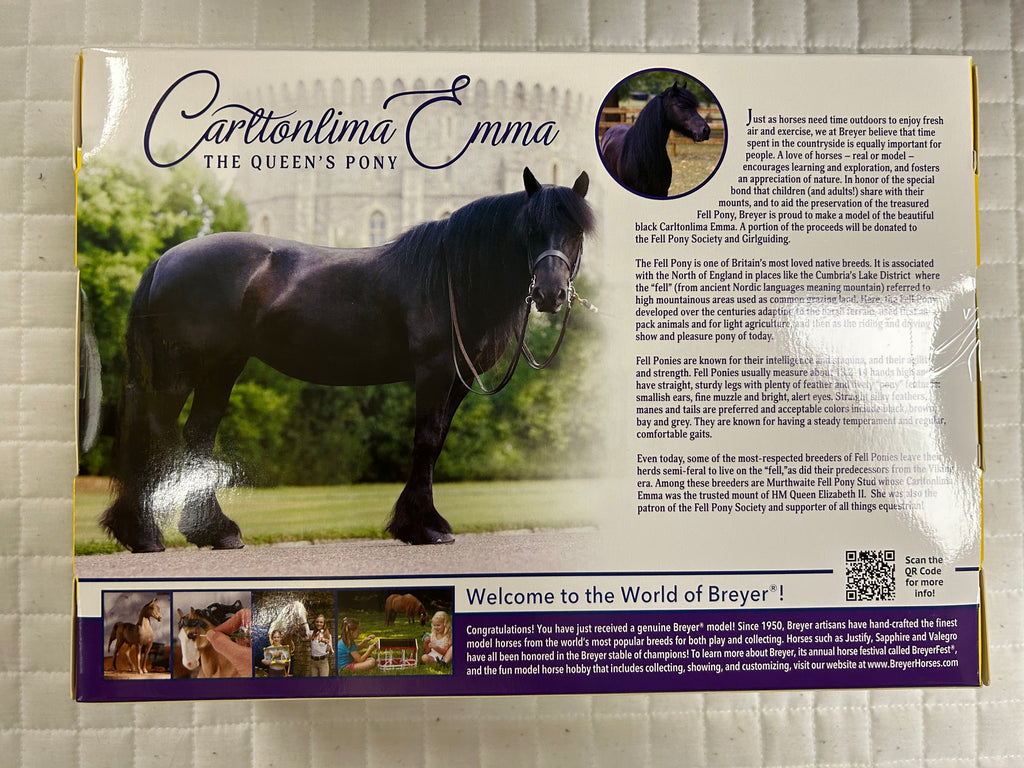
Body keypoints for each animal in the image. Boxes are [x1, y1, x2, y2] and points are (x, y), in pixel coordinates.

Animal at [100, 167, 595, 552]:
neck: (450, 276)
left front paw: (423, 522)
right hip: (181, 368)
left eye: (575, 231)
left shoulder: (457, 380)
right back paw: (145, 535)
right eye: (529, 229)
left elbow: (436, 442)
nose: (550, 294)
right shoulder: (434, 372)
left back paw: (215, 532)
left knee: (198, 435)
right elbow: (426, 440)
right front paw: (422, 527)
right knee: (158, 432)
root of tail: (166, 259)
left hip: (222, 368)